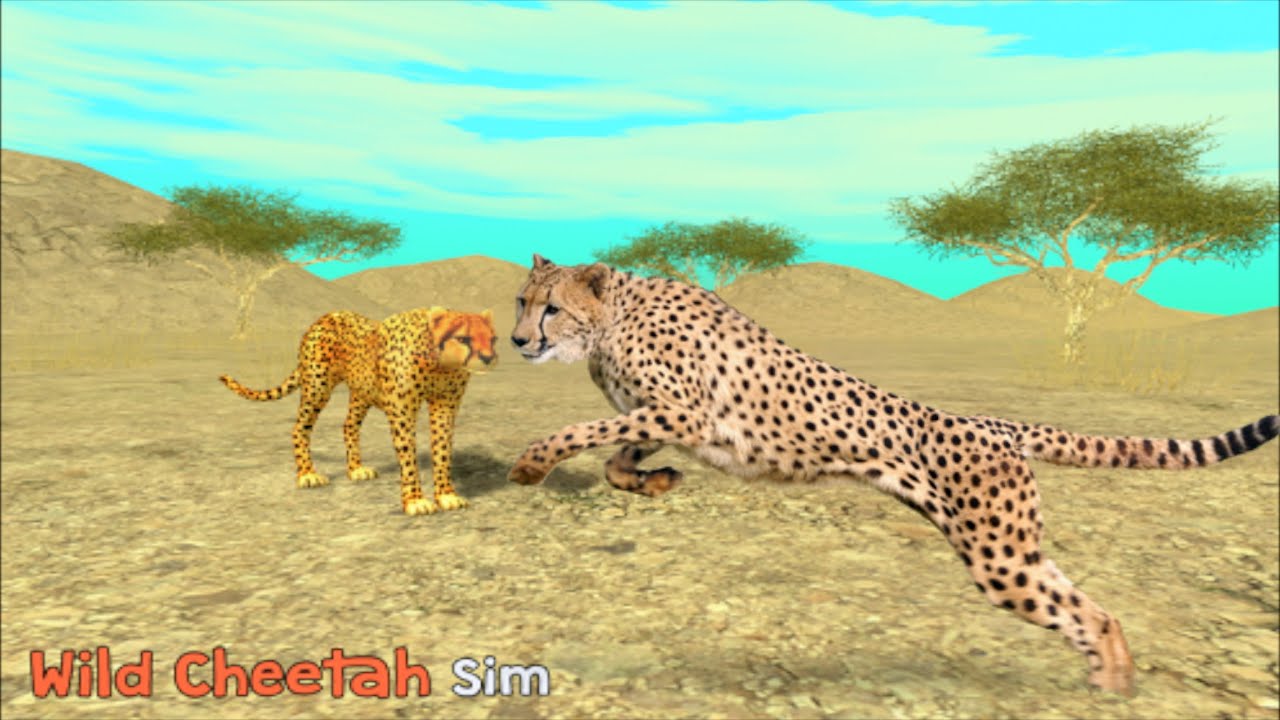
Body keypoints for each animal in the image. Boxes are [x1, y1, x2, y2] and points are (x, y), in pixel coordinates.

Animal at [221, 306, 497, 515]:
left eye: (493, 339)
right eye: (463, 339)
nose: (488, 358)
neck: (439, 365)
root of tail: (325, 317)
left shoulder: (445, 406)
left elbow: (442, 451)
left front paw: (447, 495)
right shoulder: (402, 412)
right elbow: (409, 457)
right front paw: (416, 500)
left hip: (361, 393)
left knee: (348, 425)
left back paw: (355, 469)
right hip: (318, 386)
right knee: (299, 428)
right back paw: (307, 474)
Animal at [506, 254, 1278, 695]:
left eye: (551, 307)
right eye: (521, 301)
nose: (516, 341)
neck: (613, 317)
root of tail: (997, 424)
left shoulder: (685, 413)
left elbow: (585, 434)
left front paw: (531, 462)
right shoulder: (666, 419)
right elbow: (616, 457)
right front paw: (654, 482)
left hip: (998, 559)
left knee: (1088, 610)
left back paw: (1113, 688)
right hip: (1013, 552)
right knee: (1092, 607)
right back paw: (1110, 681)